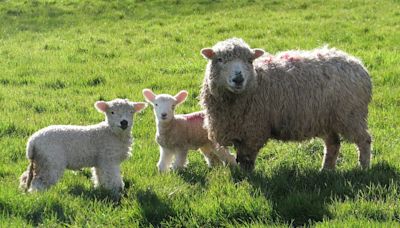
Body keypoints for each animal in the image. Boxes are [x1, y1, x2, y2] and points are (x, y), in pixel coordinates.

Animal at [19, 99, 147, 193]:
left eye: (131, 112)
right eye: (112, 112)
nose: (124, 122)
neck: (111, 132)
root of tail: (32, 142)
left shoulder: (100, 161)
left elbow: (100, 176)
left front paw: (101, 188)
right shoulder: (108, 159)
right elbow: (112, 177)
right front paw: (116, 190)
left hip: (39, 161)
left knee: (27, 177)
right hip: (51, 161)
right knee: (40, 182)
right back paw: (38, 196)